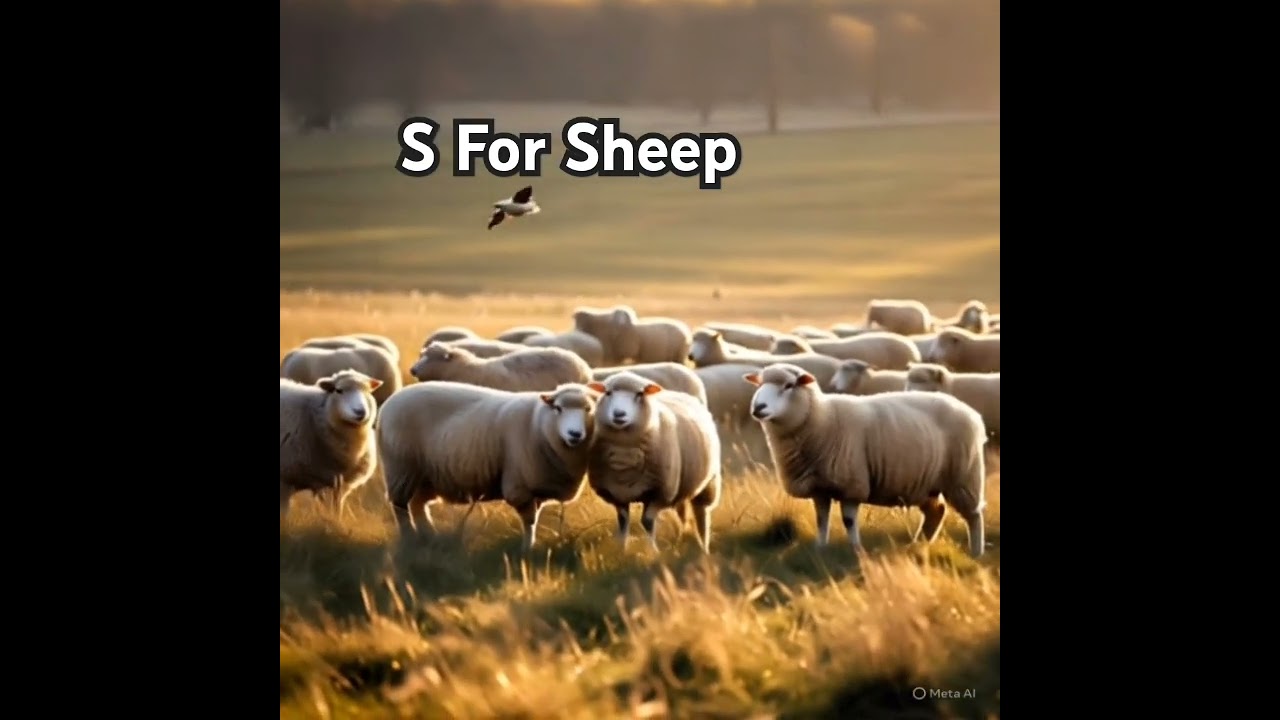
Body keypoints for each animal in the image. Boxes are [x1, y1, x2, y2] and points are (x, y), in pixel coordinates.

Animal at [280, 370, 382, 519]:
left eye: (368, 391)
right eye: (339, 390)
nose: (360, 412)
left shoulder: (337, 484)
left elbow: (335, 511)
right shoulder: (285, 480)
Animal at [378, 381, 600, 551]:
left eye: (589, 409)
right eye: (558, 408)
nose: (575, 434)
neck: (539, 425)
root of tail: (388, 404)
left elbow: (535, 519)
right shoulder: (519, 486)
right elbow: (529, 521)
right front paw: (527, 549)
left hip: (426, 476)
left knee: (417, 505)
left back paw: (429, 535)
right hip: (401, 469)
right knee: (400, 507)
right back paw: (409, 538)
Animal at [586, 372, 722, 552]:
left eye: (639, 394)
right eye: (608, 393)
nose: (619, 414)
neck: (625, 453)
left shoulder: (660, 492)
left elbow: (647, 522)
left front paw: (653, 551)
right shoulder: (616, 493)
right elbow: (623, 522)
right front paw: (622, 550)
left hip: (708, 483)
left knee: (702, 514)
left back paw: (704, 547)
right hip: (681, 487)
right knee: (682, 511)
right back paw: (682, 537)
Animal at [744, 363, 987, 558]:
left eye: (788, 385)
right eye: (759, 384)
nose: (758, 408)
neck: (821, 417)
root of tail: (971, 412)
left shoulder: (852, 484)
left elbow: (849, 521)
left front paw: (855, 549)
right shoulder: (819, 487)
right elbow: (821, 520)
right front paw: (820, 548)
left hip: (963, 476)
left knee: (973, 515)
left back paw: (976, 551)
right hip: (925, 482)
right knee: (936, 512)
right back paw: (919, 545)